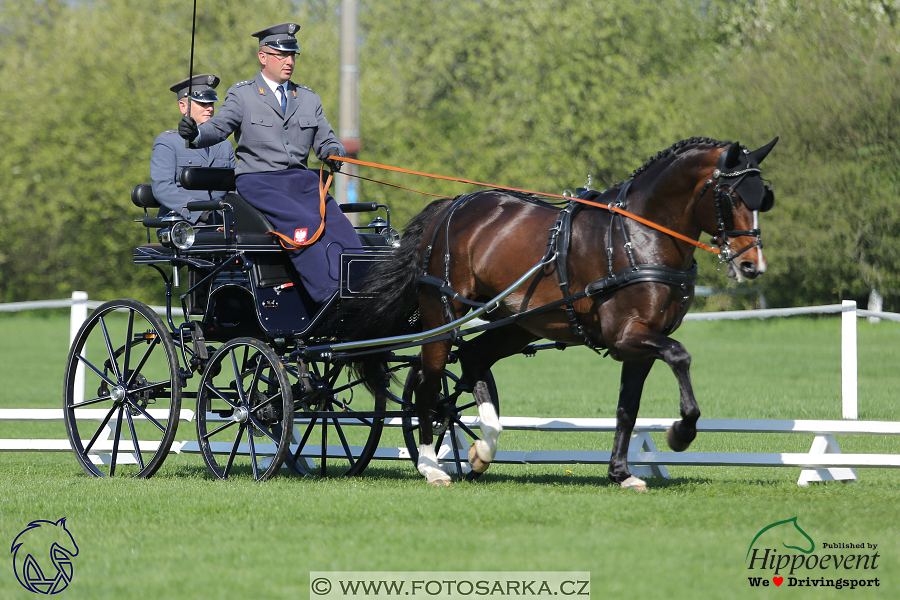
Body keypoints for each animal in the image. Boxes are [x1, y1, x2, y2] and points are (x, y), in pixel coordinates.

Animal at [344, 138, 772, 490]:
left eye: (762, 198)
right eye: (731, 197)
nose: (753, 265)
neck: (638, 236)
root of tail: (450, 206)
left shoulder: (640, 342)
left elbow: (628, 407)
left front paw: (622, 473)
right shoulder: (626, 336)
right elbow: (680, 356)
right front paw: (680, 433)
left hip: (518, 322)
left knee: (471, 357)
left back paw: (483, 449)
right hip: (442, 314)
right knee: (430, 384)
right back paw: (431, 465)